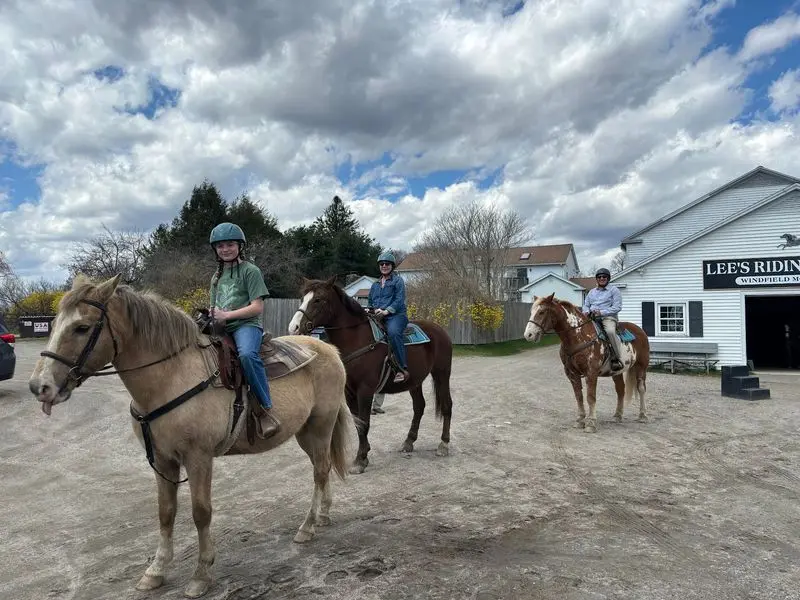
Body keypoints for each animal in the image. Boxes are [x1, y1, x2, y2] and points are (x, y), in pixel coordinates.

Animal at [28, 274, 356, 598]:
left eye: (82, 327)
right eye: (54, 324)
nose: (39, 387)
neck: (171, 377)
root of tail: (329, 351)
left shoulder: (198, 458)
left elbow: (201, 513)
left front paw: (201, 574)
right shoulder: (162, 461)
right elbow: (166, 512)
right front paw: (156, 571)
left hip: (320, 426)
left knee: (319, 471)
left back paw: (307, 527)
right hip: (306, 433)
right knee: (323, 468)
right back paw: (322, 516)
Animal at [287, 277, 454, 474]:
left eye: (318, 299)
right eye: (302, 298)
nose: (294, 327)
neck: (358, 339)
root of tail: (440, 330)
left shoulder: (365, 391)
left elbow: (365, 423)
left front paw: (360, 460)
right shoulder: (349, 392)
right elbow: (358, 423)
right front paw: (362, 456)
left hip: (442, 374)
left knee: (447, 405)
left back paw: (443, 444)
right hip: (414, 381)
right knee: (419, 407)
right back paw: (408, 442)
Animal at [523, 293, 649, 432]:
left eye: (542, 312)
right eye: (531, 312)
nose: (528, 335)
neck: (578, 337)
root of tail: (640, 331)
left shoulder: (591, 373)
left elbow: (590, 397)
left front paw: (591, 423)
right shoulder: (572, 374)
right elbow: (579, 396)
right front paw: (579, 420)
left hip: (641, 367)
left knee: (641, 389)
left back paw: (643, 415)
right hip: (617, 372)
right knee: (620, 389)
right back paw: (617, 415)